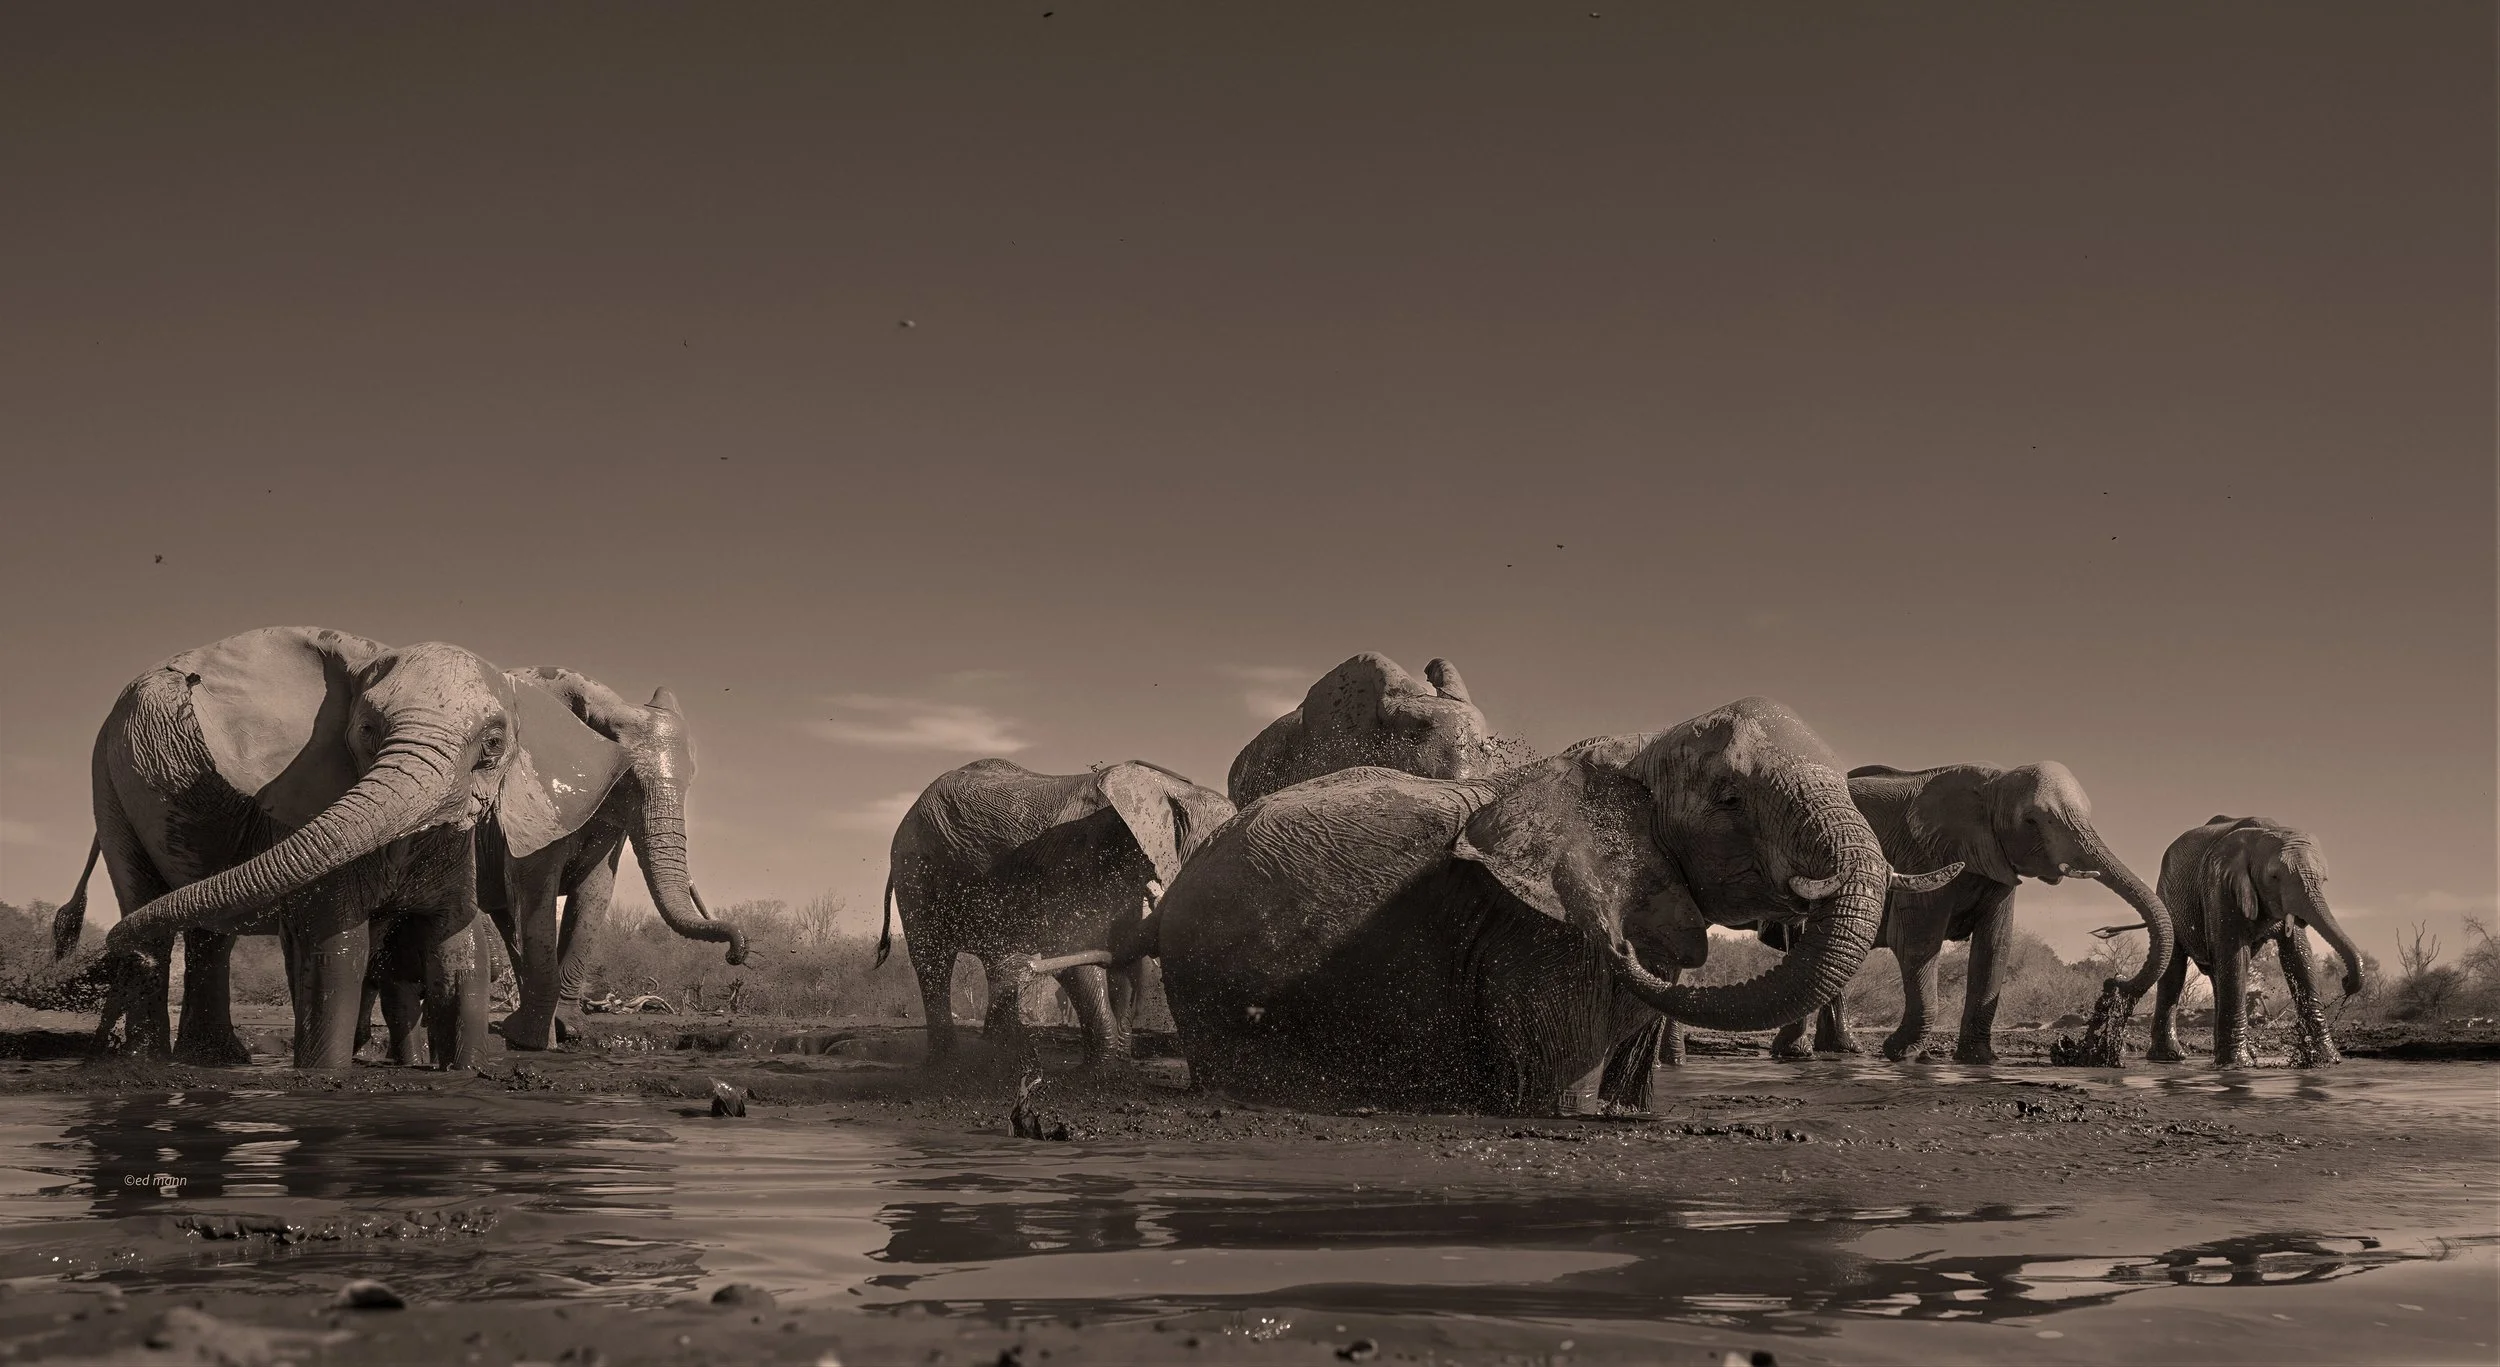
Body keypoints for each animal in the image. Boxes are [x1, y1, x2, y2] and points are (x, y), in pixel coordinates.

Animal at [44, 626, 632, 1069]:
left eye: (492, 744)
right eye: (368, 730)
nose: (84, 948)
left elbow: (459, 948)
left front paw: (464, 1073)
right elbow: (339, 948)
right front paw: (325, 1076)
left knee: (205, 933)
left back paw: (213, 1059)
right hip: (108, 776)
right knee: (148, 907)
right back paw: (145, 1062)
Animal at [880, 758, 1236, 1069]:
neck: (1170, 788)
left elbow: (1126, 963)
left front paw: (1118, 1066)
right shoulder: (1077, 860)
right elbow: (1073, 952)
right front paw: (1096, 1072)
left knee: (996, 960)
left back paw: (1001, 1053)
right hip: (915, 870)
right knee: (932, 961)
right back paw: (947, 1064)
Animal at [1744, 761, 2174, 1065]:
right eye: (2032, 820)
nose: (2114, 983)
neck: (1993, 784)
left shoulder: (1997, 864)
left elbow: (1993, 950)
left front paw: (1979, 1060)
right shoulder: (1924, 854)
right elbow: (1917, 943)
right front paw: (1900, 1053)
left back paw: (1840, 1051)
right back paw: (1796, 1054)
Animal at [2148, 816, 2362, 1067]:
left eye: (2324, 880)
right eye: (2274, 877)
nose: (2346, 982)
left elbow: (2299, 956)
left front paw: (2327, 1060)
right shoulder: (2220, 885)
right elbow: (2235, 954)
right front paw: (2238, 1065)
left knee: (2219, 974)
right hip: (2166, 897)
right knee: (2175, 970)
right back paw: (2171, 1057)